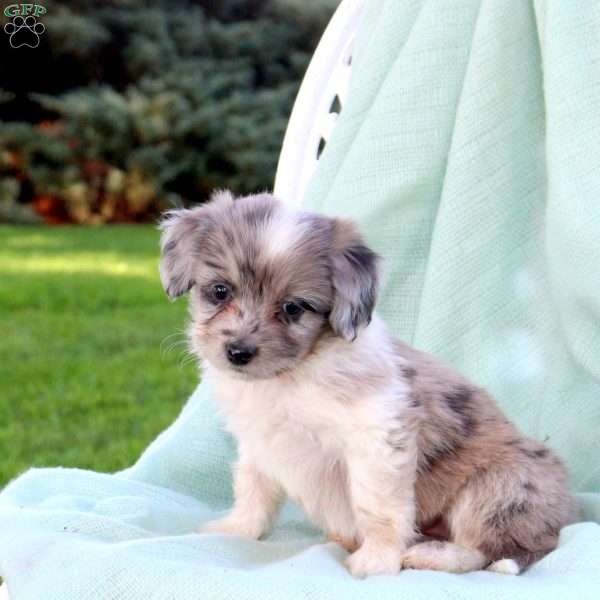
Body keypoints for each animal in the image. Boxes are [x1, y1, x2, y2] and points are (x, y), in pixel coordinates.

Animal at [159, 191, 576, 576]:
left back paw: (431, 554)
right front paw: (237, 529)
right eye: (220, 291)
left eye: (293, 308)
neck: (290, 376)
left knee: (493, 552)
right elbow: (253, 491)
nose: (238, 352)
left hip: (497, 489)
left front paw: (378, 559)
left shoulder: (376, 440)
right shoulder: (260, 444)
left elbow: (376, 506)